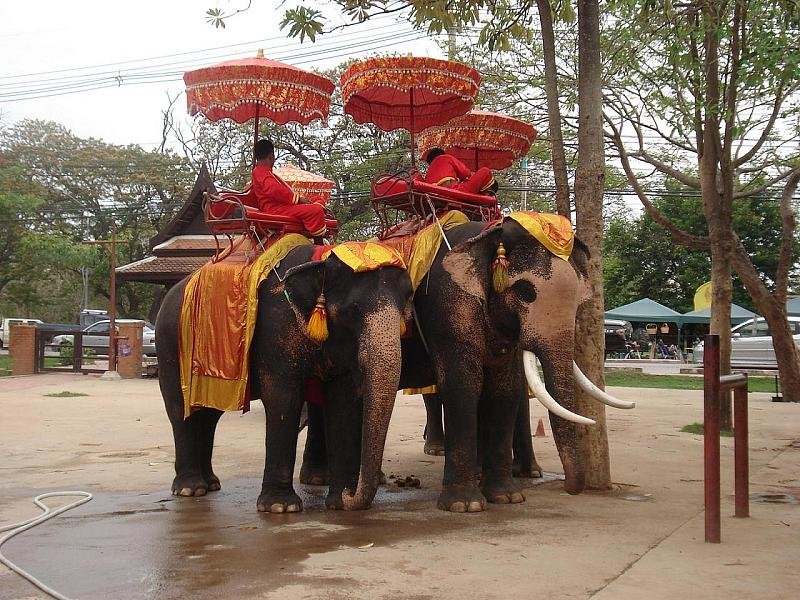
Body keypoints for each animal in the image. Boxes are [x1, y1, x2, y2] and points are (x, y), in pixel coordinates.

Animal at [155, 246, 412, 512]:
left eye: (405, 309)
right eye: (352, 311)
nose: (351, 494)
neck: (319, 262)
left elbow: (342, 402)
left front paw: (338, 503)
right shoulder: (275, 332)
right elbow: (283, 399)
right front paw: (280, 507)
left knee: (208, 415)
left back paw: (211, 484)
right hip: (170, 345)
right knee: (180, 409)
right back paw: (190, 489)